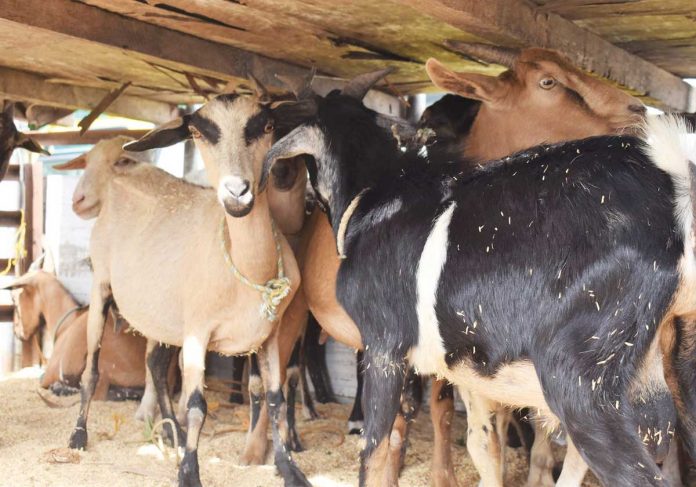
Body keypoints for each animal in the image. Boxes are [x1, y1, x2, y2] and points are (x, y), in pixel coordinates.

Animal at [61, 88, 313, 487]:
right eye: (197, 133)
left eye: (267, 126)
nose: (237, 192)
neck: (245, 267)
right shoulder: (198, 330)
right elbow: (197, 405)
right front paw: (190, 474)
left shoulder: (270, 333)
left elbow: (275, 399)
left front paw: (290, 470)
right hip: (101, 284)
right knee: (92, 370)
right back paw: (79, 436)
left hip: (163, 315)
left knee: (155, 365)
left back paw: (173, 436)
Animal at [262, 85, 696, 487]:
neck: (375, 198)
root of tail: (675, 179)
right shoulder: (464, 365)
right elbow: (482, 444)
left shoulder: (383, 345)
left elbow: (375, 451)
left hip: (582, 377)